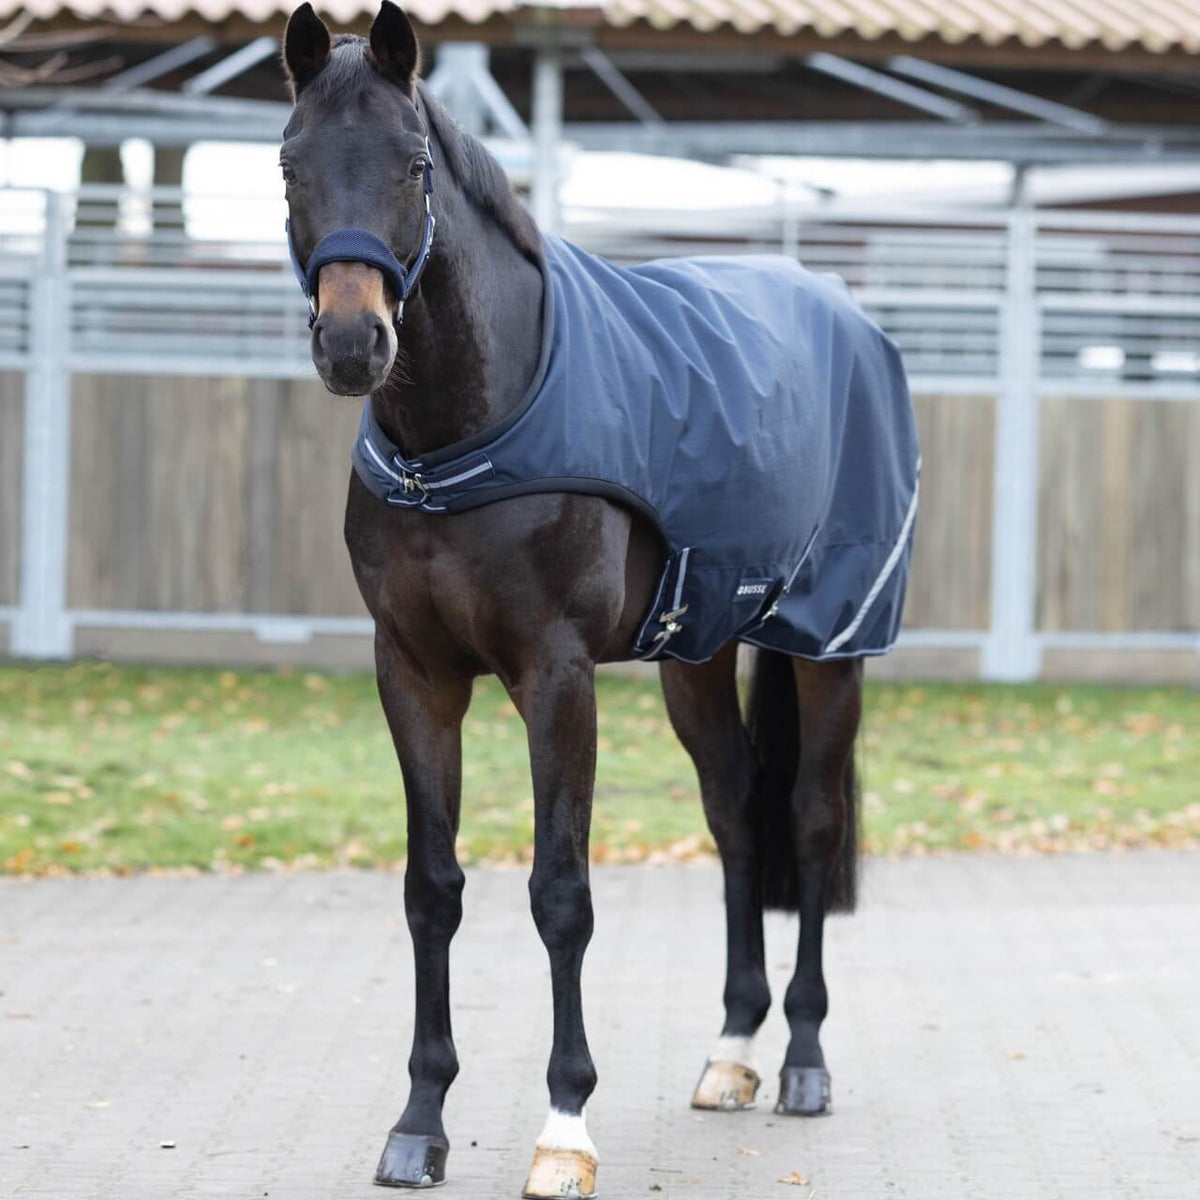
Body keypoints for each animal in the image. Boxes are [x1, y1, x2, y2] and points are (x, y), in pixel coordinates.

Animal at [279, 5, 917, 1195]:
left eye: (414, 164)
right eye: (292, 162)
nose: (352, 343)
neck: (469, 434)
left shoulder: (556, 675)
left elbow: (559, 893)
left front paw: (564, 1126)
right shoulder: (414, 673)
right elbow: (432, 889)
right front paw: (420, 1121)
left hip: (831, 644)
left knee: (810, 821)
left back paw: (803, 1060)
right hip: (697, 656)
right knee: (736, 814)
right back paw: (731, 1052)